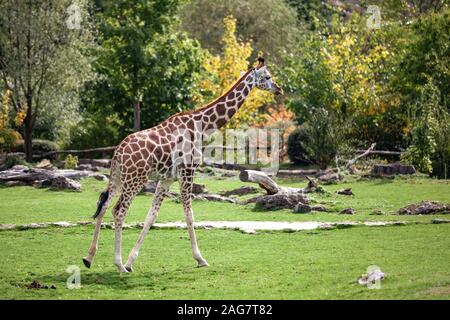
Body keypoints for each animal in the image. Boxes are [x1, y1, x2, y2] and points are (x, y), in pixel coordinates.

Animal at [82, 57, 284, 272]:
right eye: (267, 76)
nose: (279, 89)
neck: (202, 126)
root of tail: (118, 152)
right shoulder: (187, 172)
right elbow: (189, 214)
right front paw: (200, 258)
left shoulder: (167, 178)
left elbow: (151, 216)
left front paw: (131, 261)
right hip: (135, 180)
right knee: (118, 211)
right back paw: (118, 265)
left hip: (117, 178)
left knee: (103, 206)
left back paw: (89, 258)